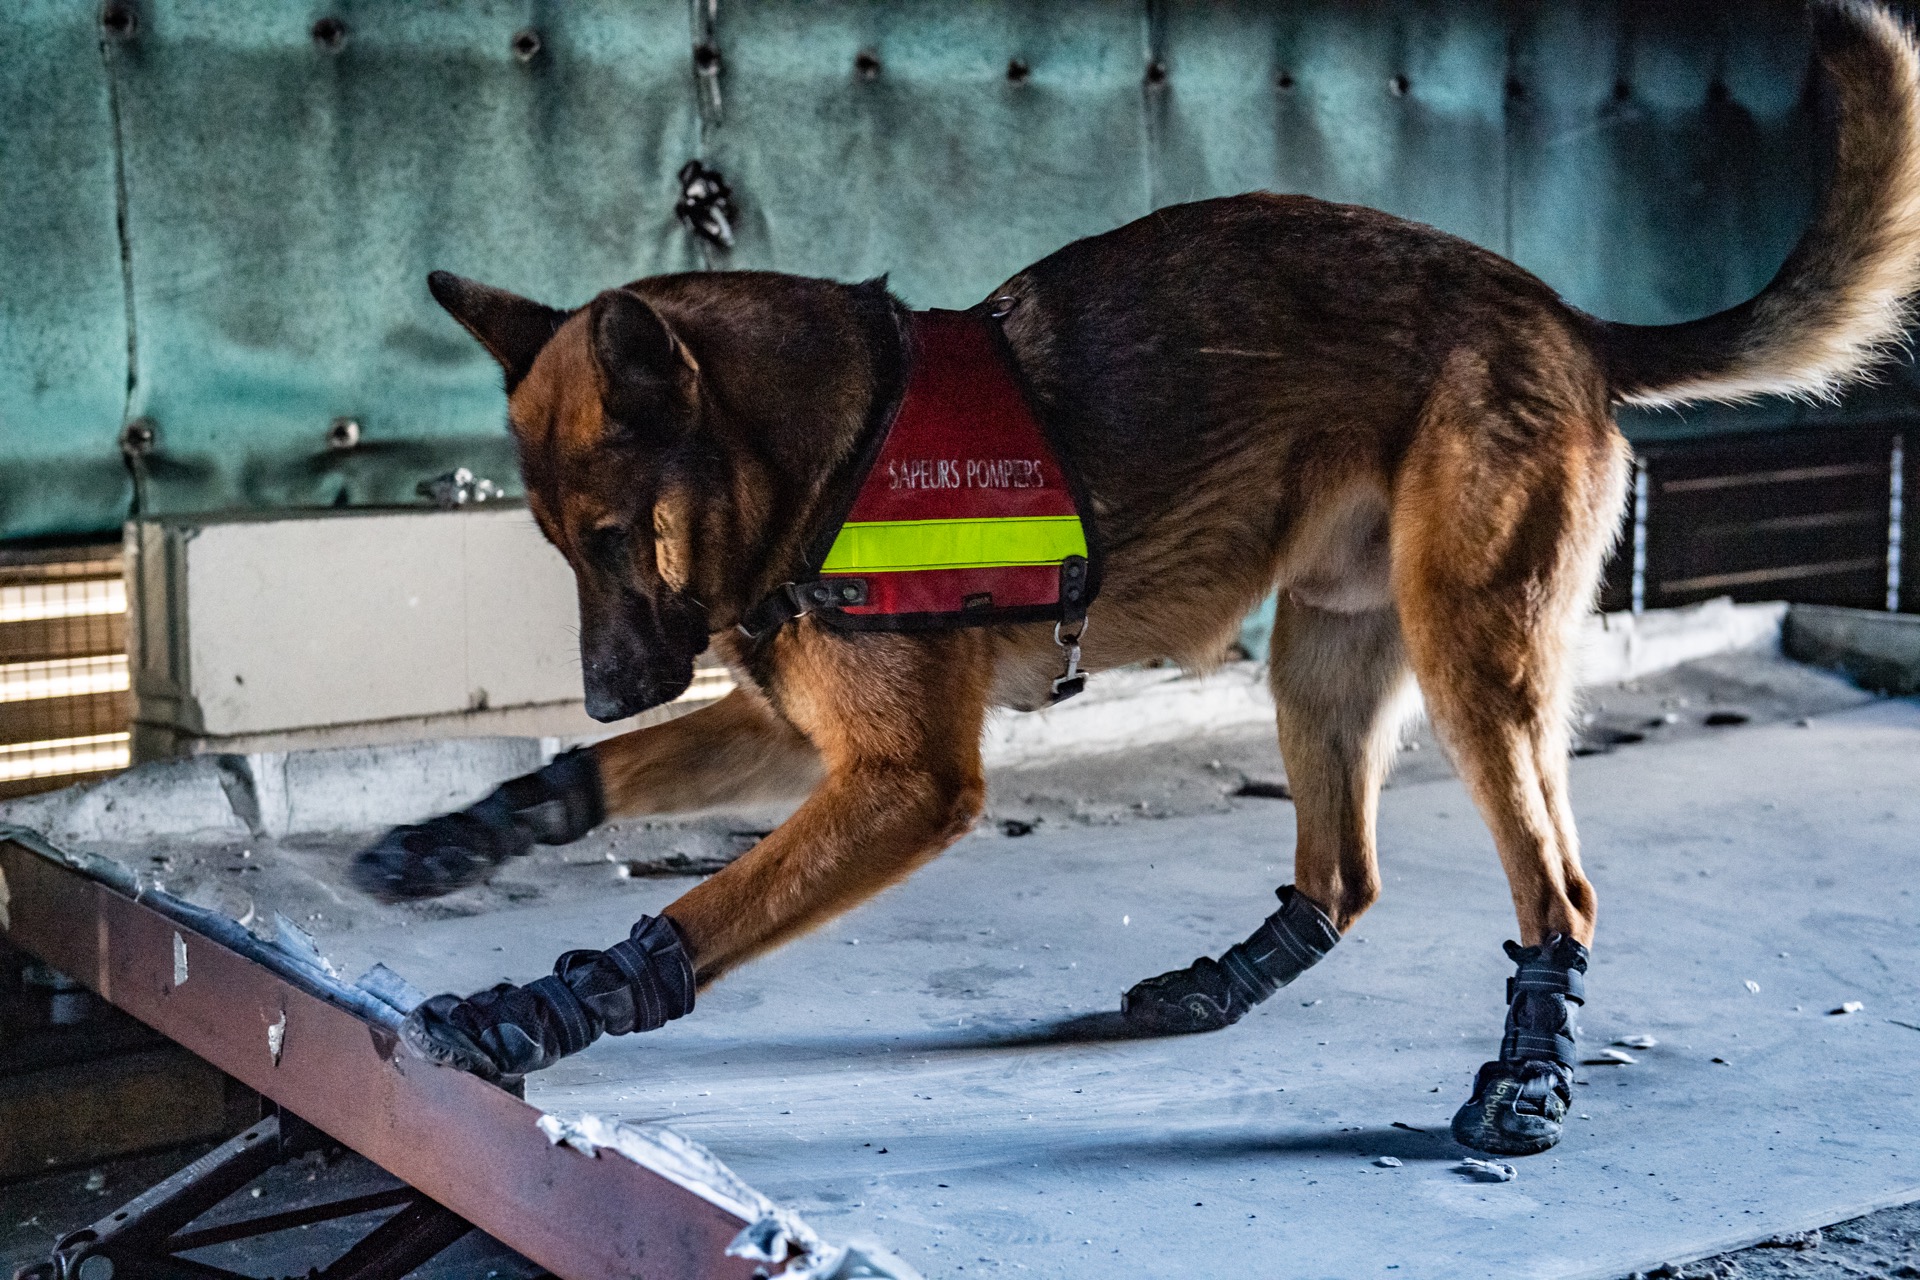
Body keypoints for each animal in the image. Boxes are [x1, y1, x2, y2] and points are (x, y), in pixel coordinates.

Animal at [349, 0, 1920, 1159]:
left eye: (619, 534)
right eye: (561, 544)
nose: (612, 691)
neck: (826, 450)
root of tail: (1567, 316)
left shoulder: (904, 783)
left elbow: (696, 919)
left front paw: (543, 1006)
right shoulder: (796, 732)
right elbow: (596, 785)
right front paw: (467, 832)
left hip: (1476, 652)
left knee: (1563, 893)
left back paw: (1526, 1075)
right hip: (1327, 655)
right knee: (1342, 875)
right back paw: (1224, 981)